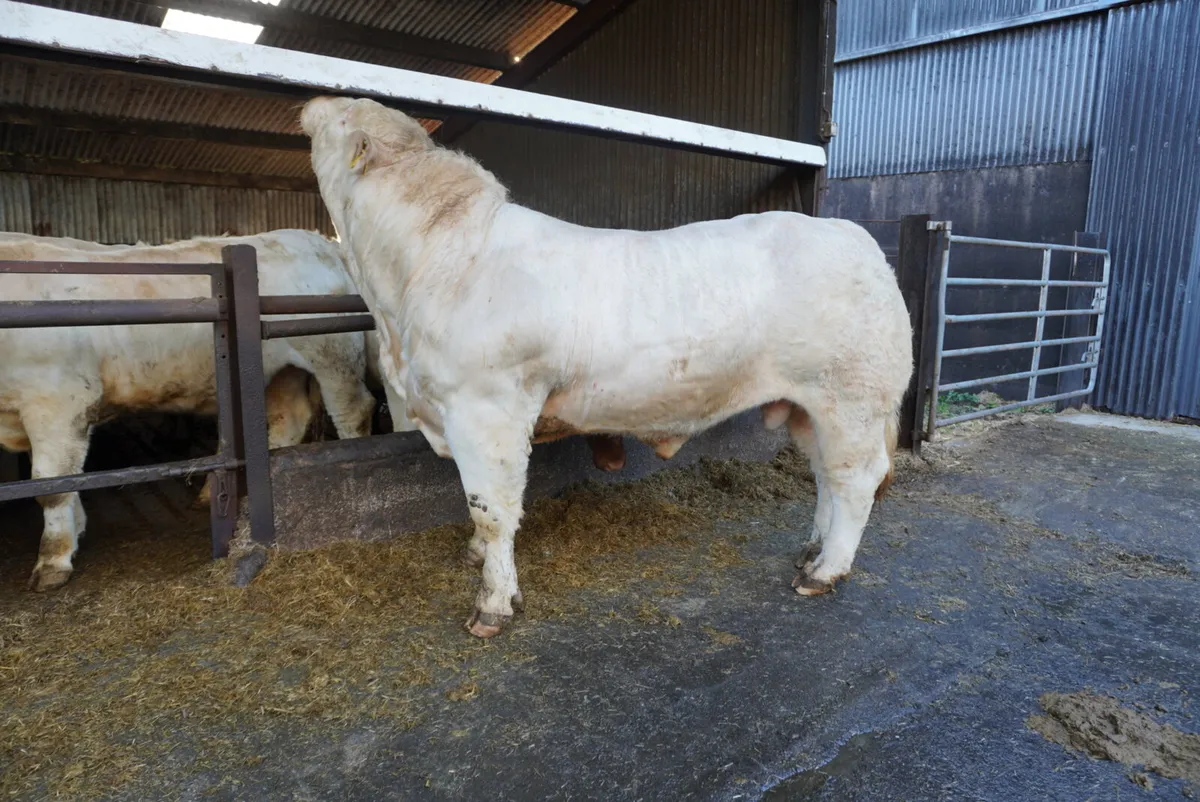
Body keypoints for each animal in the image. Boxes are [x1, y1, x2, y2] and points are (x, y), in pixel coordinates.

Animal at [0, 230, 378, 591]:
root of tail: (318, 241)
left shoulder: (59, 402)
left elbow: (51, 485)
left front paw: (53, 562)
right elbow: (66, 478)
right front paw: (75, 531)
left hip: (333, 357)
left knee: (353, 411)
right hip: (281, 372)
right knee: (287, 419)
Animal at [300, 96, 913, 638]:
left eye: (343, 114)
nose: (309, 104)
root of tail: (849, 232)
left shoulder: (486, 407)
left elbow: (492, 508)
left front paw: (494, 603)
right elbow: (477, 509)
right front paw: (478, 559)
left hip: (852, 398)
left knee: (856, 479)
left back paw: (825, 572)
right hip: (810, 405)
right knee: (825, 476)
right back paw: (812, 549)